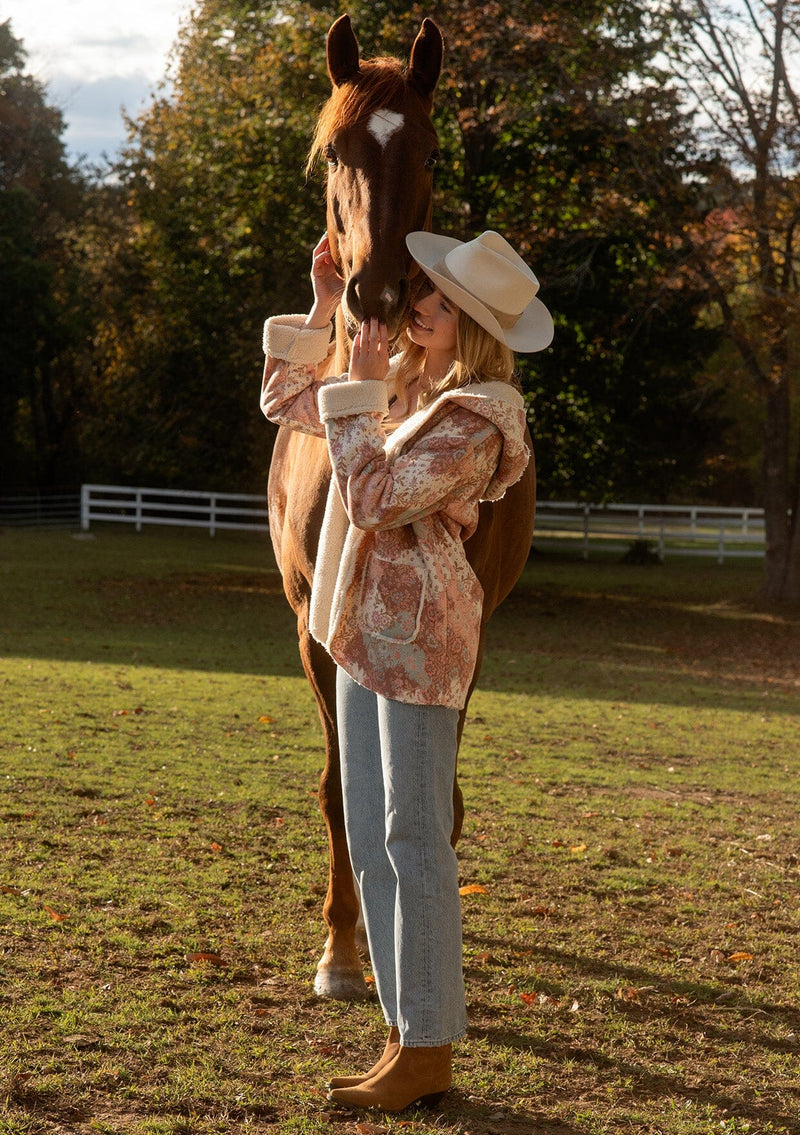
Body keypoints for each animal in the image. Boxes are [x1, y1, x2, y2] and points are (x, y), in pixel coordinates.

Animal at [265, 13, 533, 998]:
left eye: (427, 150)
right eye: (336, 151)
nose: (375, 292)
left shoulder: (476, 629)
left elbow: (429, 791)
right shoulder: (311, 624)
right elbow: (339, 791)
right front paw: (343, 953)